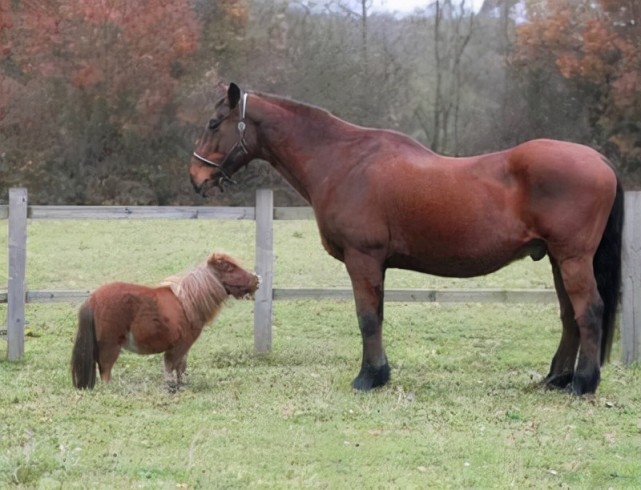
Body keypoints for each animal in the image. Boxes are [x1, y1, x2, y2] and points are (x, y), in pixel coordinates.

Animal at [71, 253, 258, 390]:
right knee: (105, 369)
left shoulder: (183, 348)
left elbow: (181, 367)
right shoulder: (180, 346)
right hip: (110, 346)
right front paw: (171, 387)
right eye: (229, 267)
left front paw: (181, 385)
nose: (257, 280)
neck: (188, 302)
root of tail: (92, 299)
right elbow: (172, 367)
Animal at [188, 83, 624, 394]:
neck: (343, 161)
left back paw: (582, 384)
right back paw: (555, 380)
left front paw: (368, 379)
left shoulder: (362, 258)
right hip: (556, 259)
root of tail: (598, 159)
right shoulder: (375, 265)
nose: (196, 178)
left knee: (588, 311)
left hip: (572, 258)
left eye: (213, 123)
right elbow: (377, 316)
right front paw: (380, 374)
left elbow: (366, 318)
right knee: (569, 315)